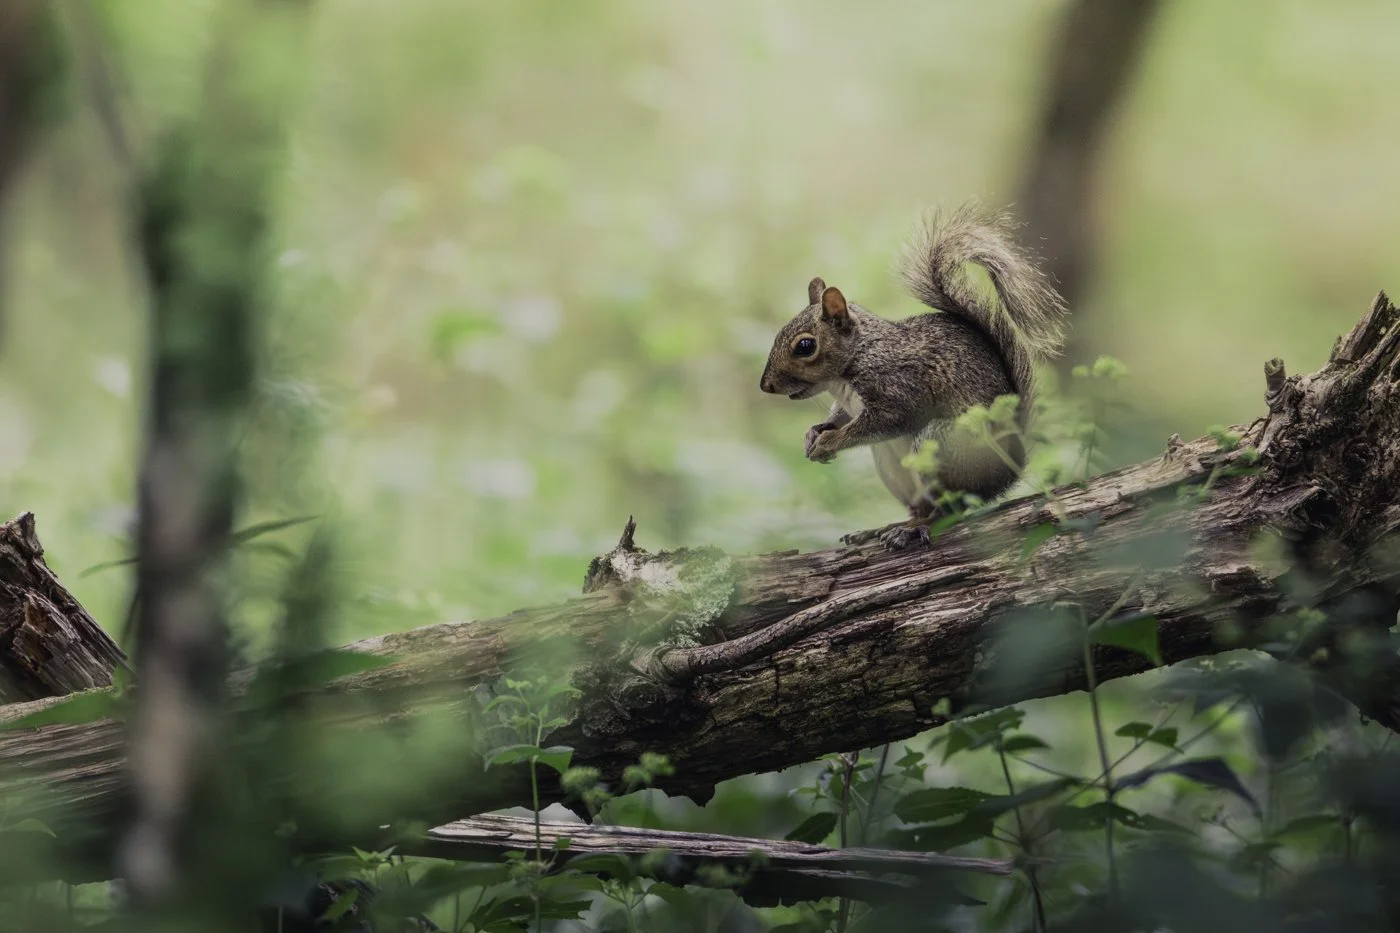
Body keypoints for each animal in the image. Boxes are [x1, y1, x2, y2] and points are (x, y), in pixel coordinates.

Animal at [758, 202, 1068, 550]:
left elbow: (890, 420)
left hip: (941, 445)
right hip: (890, 464)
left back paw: (914, 529)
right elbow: (840, 417)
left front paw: (828, 442)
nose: (765, 385)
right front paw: (813, 434)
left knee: (950, 509)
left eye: (805, 346)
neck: (852, 365)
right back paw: (885, 527)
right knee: (920, 506)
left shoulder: (899, 387)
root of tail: (1010, 466)